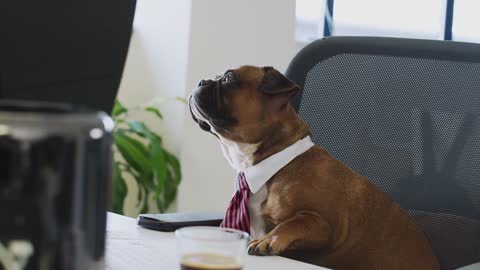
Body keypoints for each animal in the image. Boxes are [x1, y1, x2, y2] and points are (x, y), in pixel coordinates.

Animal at [188, 66, 438, 270]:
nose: (201, 81)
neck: (276, 164)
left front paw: (269, 239)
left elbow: (294, 222)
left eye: (229, 79)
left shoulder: (322, 224)